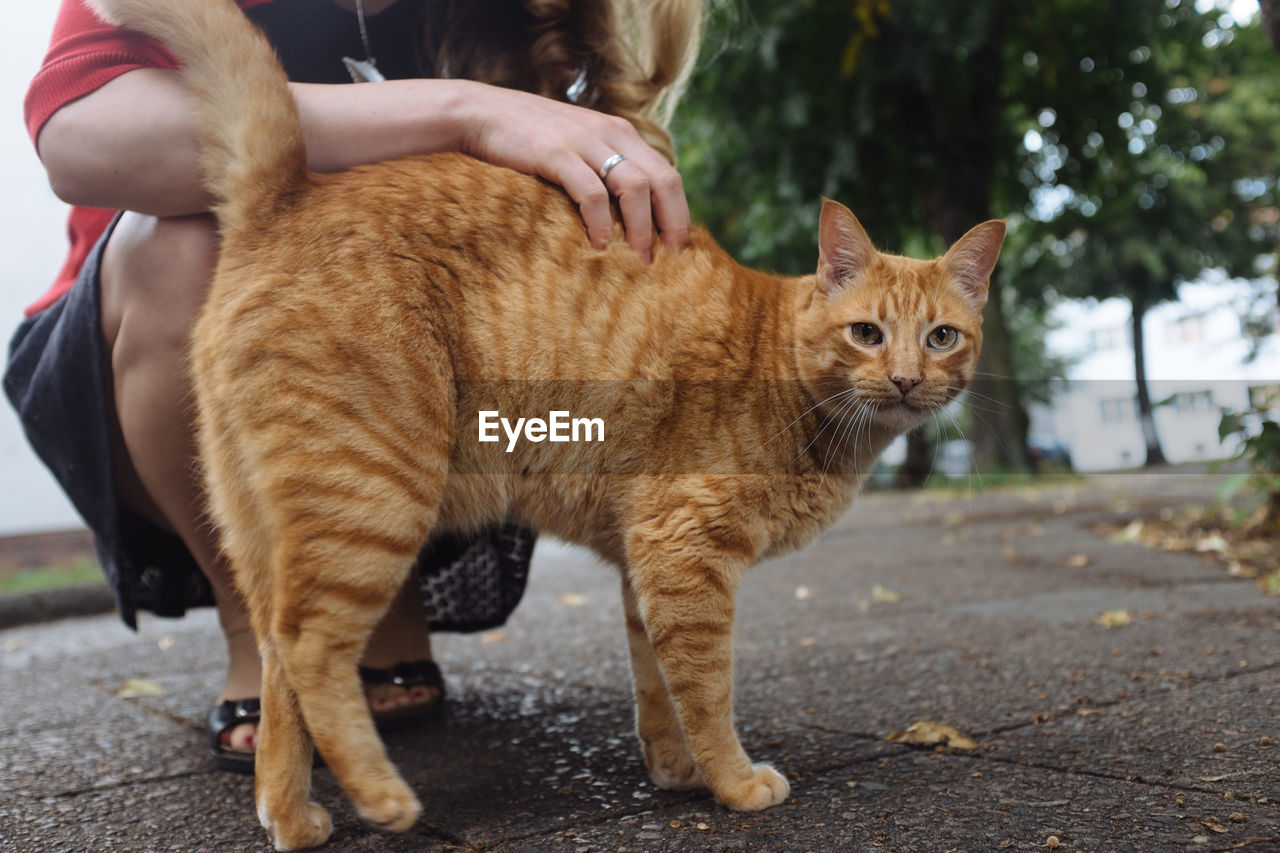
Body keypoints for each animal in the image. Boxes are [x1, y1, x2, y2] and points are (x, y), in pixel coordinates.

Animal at [90, 0, 1003, 840]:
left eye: (942, 337)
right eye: (868, 333)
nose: (906, 378)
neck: (788, 372)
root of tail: (286, 194)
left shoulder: (649, 562)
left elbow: (658, 686)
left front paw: (675, 771)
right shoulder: (687, 554)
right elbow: (708, 689)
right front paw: (735, 781)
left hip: (268, 525)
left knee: (276, 659)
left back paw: (292, 815)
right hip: (377, 498)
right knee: (310, 645)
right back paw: (383, 798)